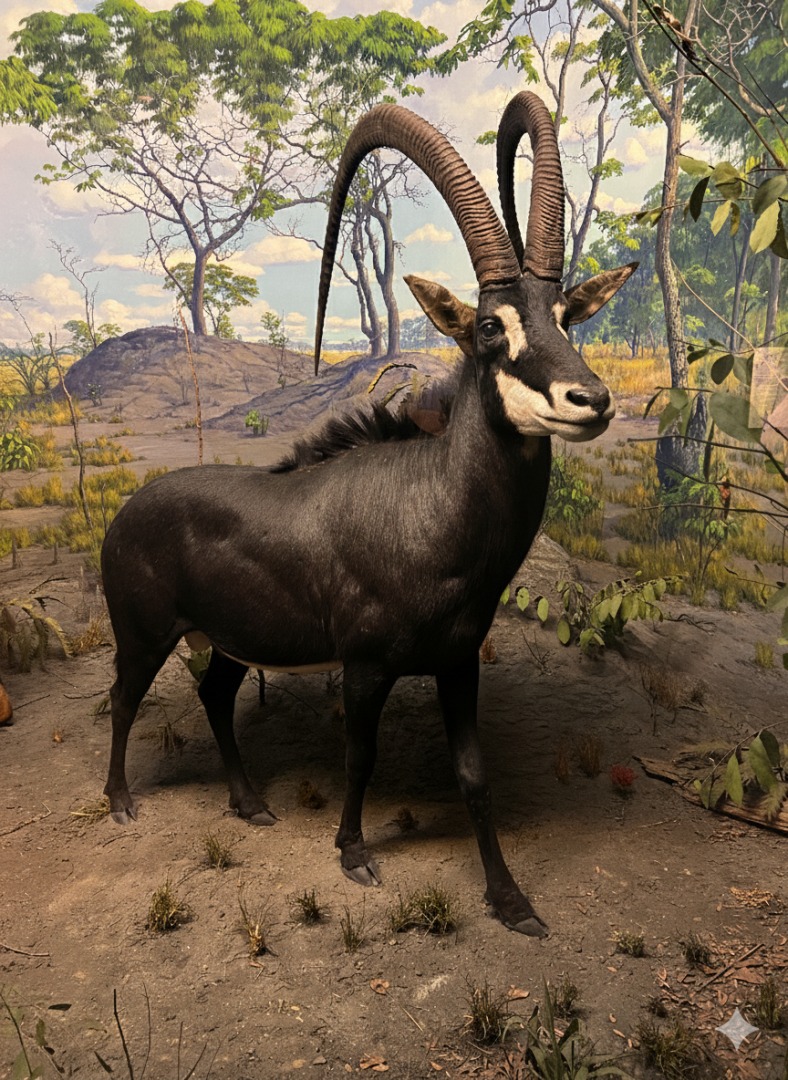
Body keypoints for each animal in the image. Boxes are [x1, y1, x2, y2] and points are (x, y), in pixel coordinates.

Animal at [101, 92, 636, 935]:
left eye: (566, 316)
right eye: (491, 326)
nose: (591, 400)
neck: (430, 511)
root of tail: (125, 513)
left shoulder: (457, 662)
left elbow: (472, 773)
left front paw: (511, 900)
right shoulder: (364, 667)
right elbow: (361, 756)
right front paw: (353, 853)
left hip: (230, 639)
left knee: (215, 694)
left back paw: (250, 804)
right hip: (145, 633)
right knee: (125, 697)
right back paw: (121, 801)